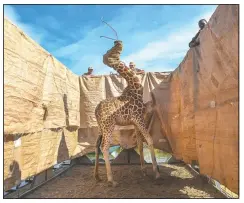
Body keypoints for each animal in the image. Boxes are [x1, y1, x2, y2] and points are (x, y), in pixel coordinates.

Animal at [94, 40, 160, 187]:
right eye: (110, 51)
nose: (118, 42)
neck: (136, 89)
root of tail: (96, 110)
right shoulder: (139, 118)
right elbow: (150, 139)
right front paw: (157, 172)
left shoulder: (135, 121)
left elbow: (140, 144)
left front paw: (144, 171)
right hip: (108, 125)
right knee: (104, 147)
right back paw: (111, 180)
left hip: (101, 127)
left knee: (97, 145)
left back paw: (97, 177)